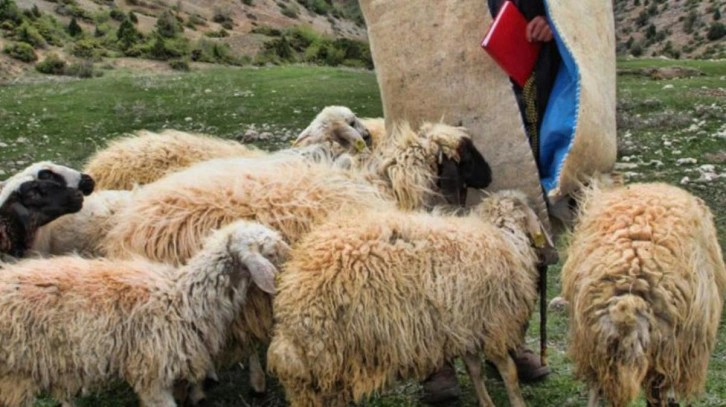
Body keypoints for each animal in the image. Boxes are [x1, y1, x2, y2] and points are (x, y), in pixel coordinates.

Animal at [270, 191, 556, 407]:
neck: (505, 239)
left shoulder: (465, 326)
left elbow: (475, 371)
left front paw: (486, 403)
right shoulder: (493, 325)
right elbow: (510, 373)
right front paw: (517, 402)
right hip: (328, 357)